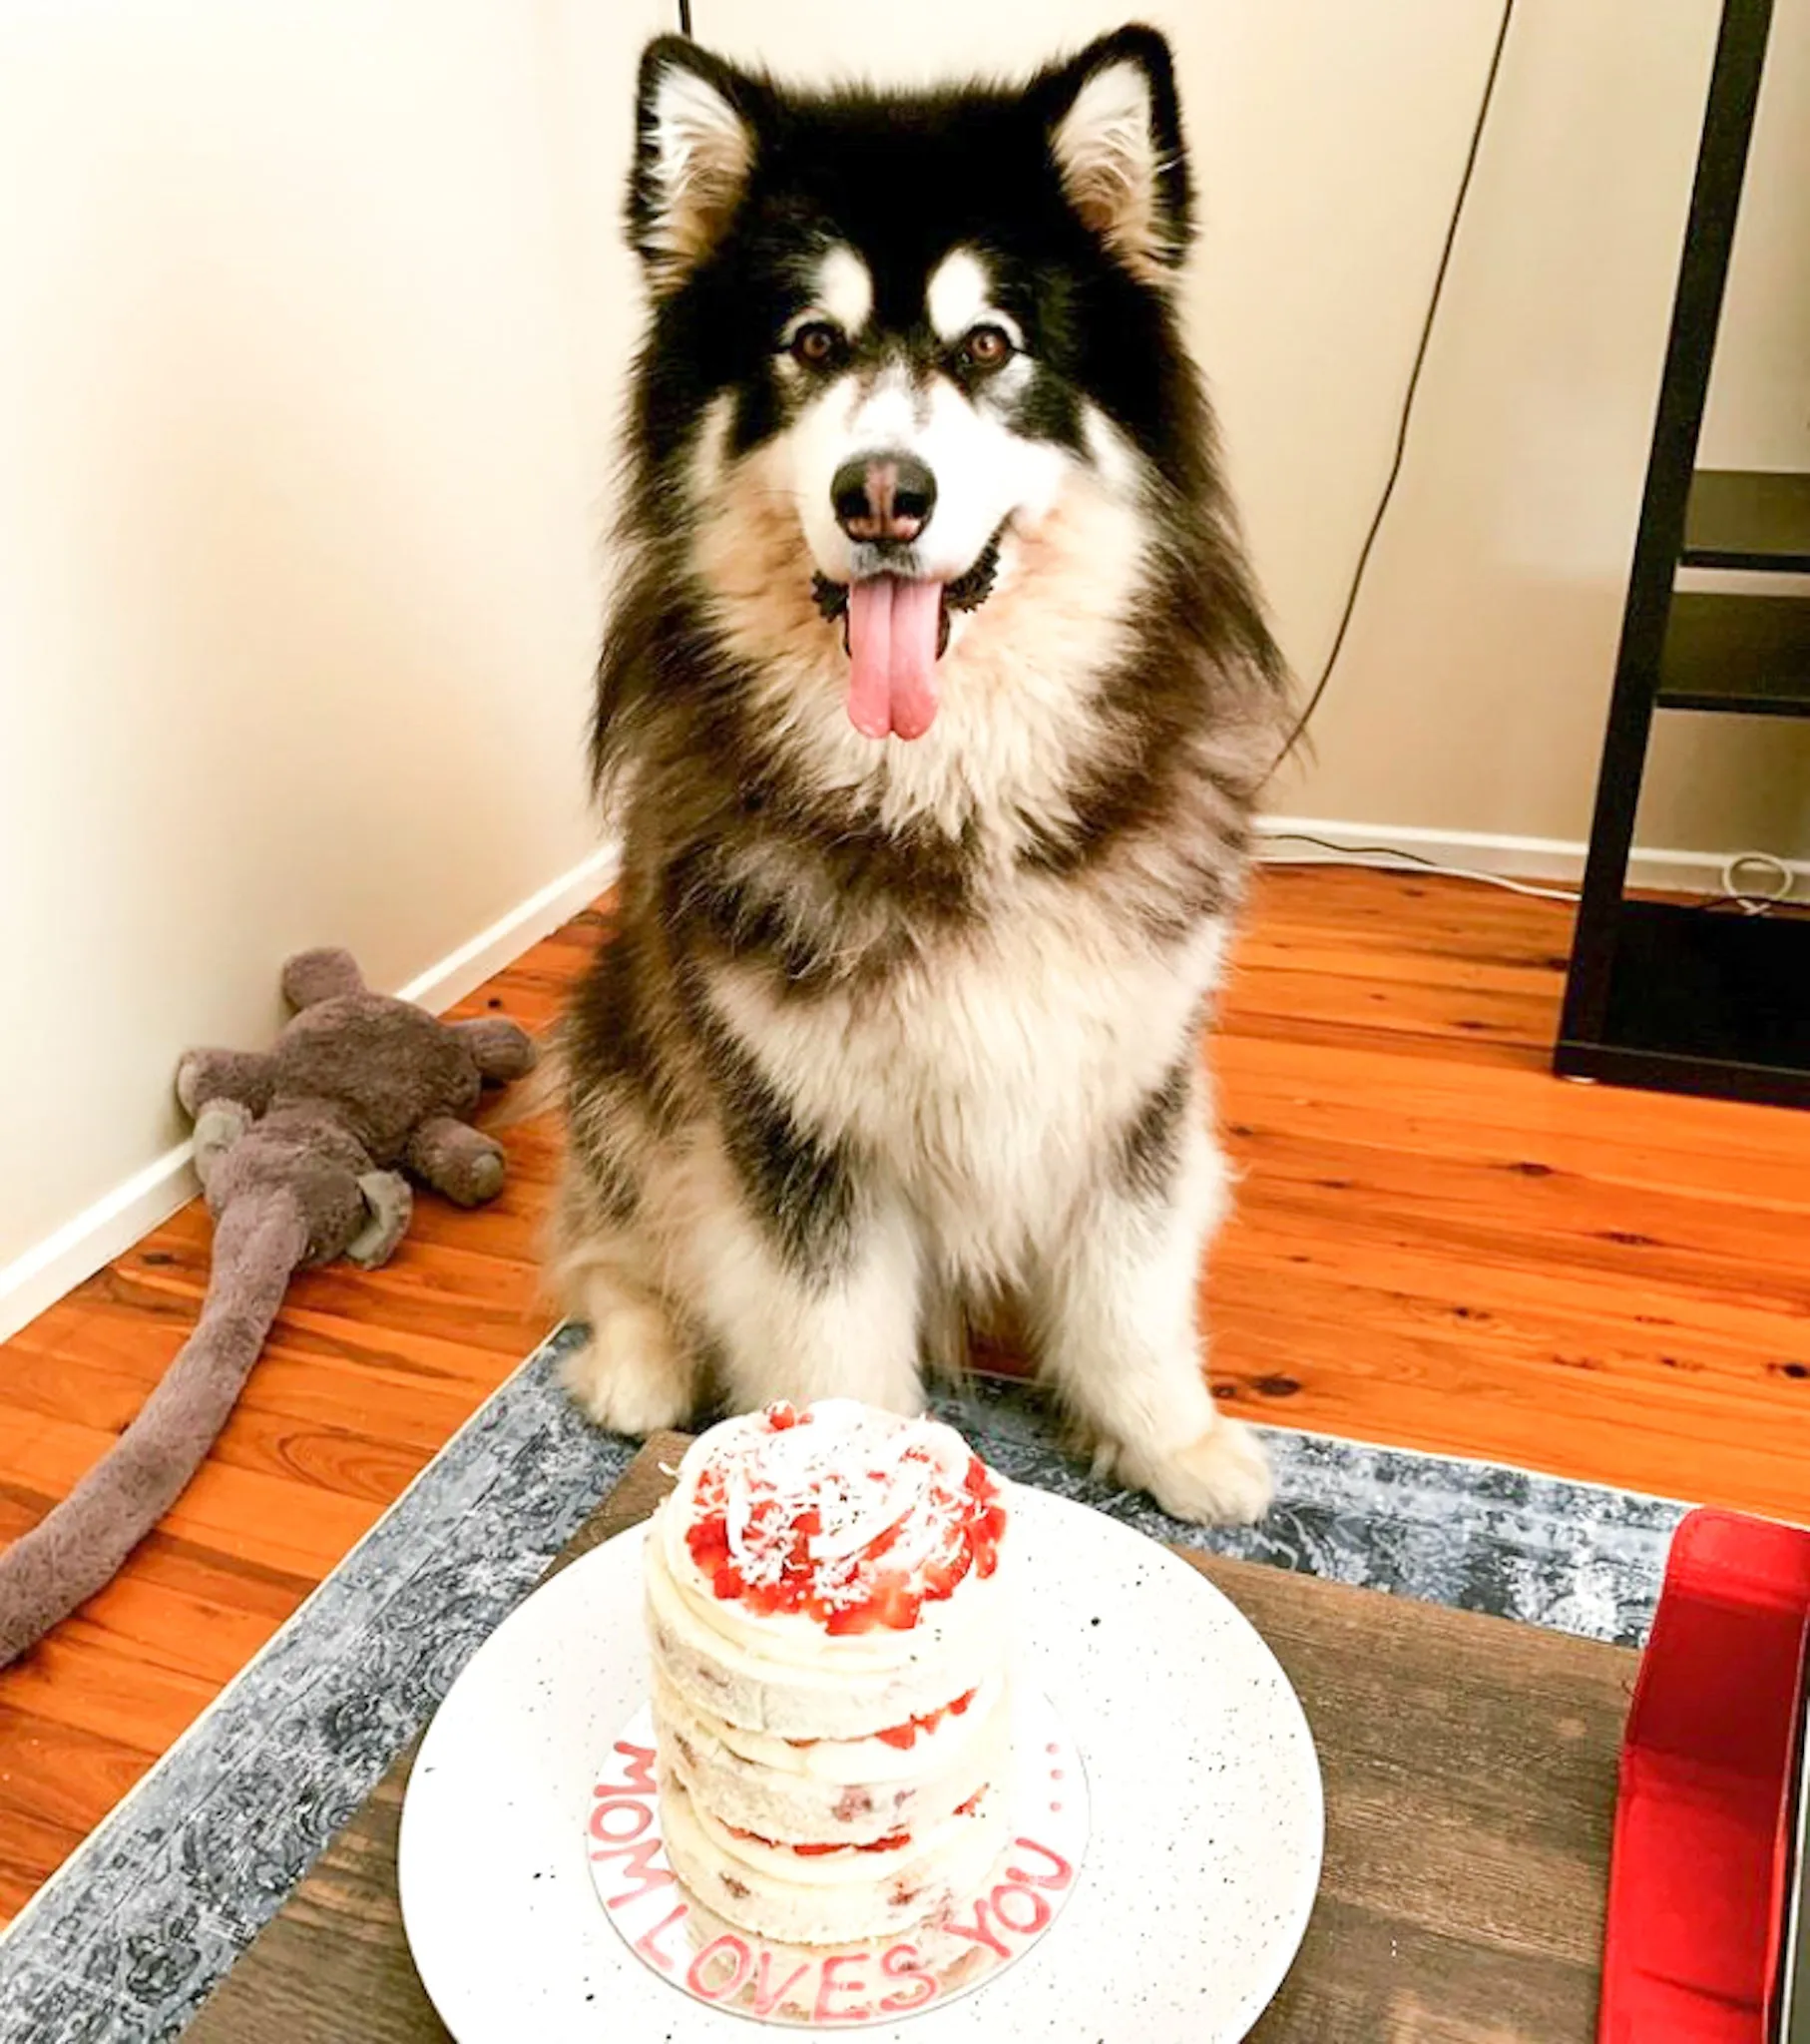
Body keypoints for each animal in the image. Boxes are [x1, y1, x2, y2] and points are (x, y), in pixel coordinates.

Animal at [559, 16, 1299, 1520]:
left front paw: (1167, 1440)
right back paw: (639, 1356)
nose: (881, 496)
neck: (947, 792)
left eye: (987, 343)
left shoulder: (1131, 1075)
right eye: (812, 341)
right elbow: (831, 1338)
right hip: (616, 1042)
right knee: (618, 1232)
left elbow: (1130, 1293)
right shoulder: (788, 1126)